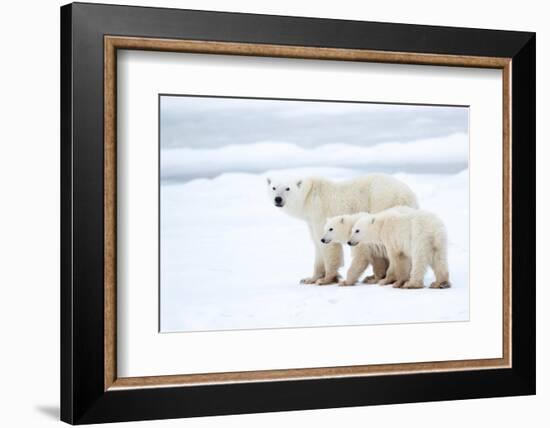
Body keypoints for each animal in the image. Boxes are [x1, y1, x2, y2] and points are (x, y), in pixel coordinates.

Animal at [268, 174, 418, 284]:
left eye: (287, 188)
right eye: (274, 187)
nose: (278, 199)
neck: (309, 195)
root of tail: (409, 194)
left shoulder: (319, 212)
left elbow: (328, 245)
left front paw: (326, 279)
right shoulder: (311, 220)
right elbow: (317, 243)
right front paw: (309, 279)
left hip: (382, 201)